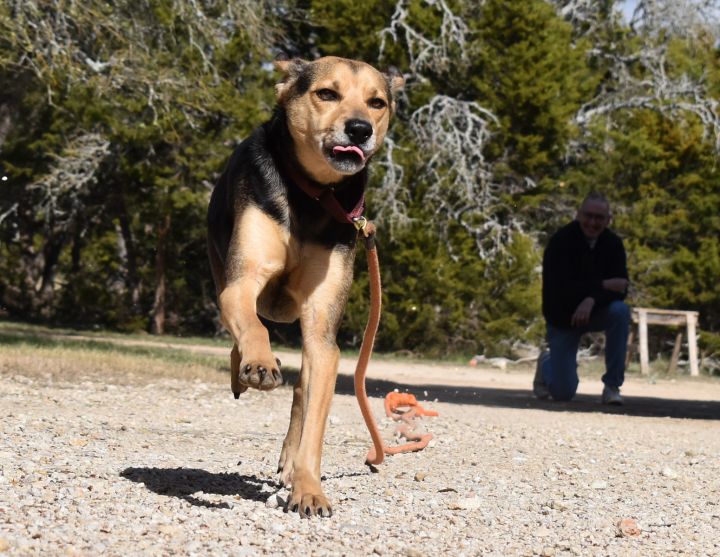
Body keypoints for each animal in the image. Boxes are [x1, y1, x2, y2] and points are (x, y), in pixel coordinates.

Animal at [205, 57, 402, 516]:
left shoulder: (322, 328)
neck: (313, 195)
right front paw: (260, 364)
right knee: (241, 333)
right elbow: (252, 327)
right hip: (223, 271)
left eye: (377, 102)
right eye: (326, 93)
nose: (359, 129)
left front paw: (309, 488)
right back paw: (246, 370)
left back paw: (290, 464)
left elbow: (314, 422)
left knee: (301, 389)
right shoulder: (241, 283)